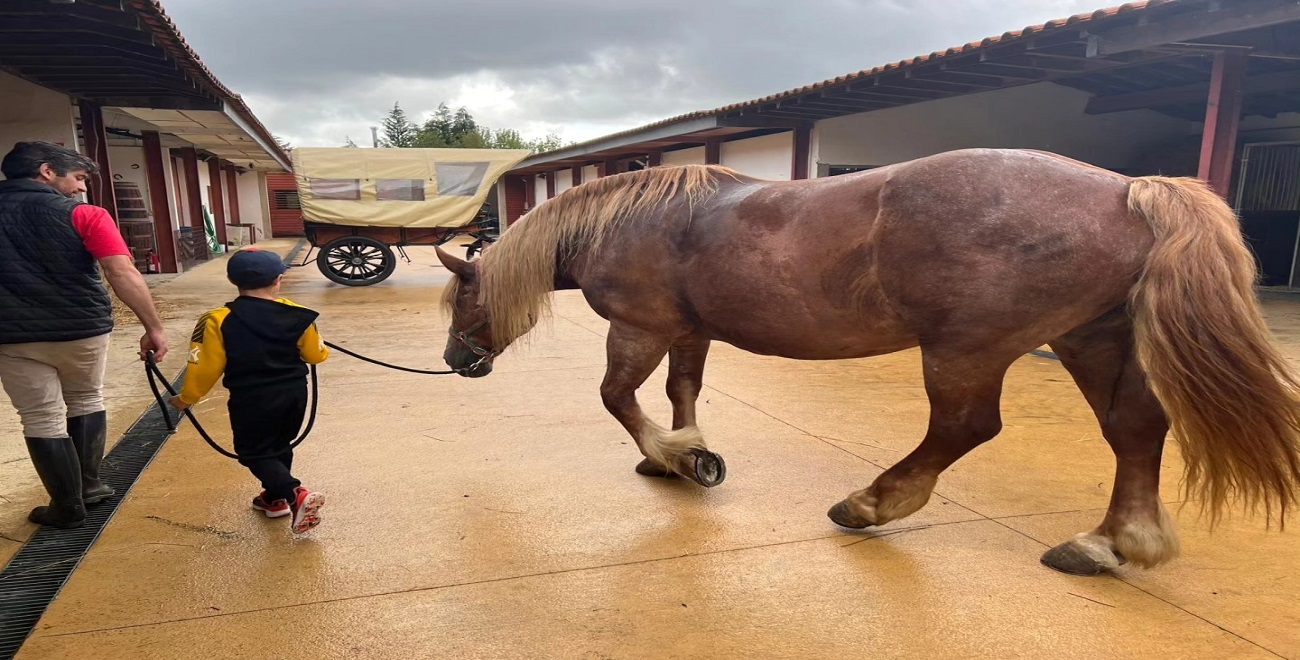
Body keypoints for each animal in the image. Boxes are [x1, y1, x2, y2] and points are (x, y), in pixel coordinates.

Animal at [435, 147, 1300, 576]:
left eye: (460, 303)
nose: (455, 362)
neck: (636, 219)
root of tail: (1127, 190)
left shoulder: (639, 329)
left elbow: (619, 399)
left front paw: (678, 457)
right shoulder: (688, 330)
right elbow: (683, 391)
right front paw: (684, 455)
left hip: (967, 351)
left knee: (964, 427)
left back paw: (873, 503)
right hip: (1092, 339)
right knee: (1134, 429)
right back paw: (1113, 542)